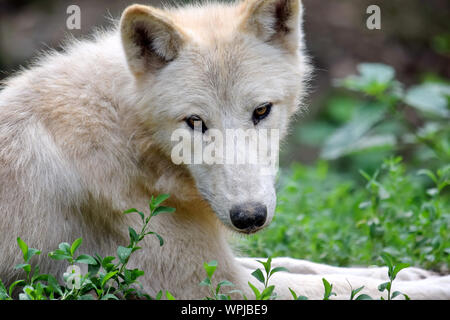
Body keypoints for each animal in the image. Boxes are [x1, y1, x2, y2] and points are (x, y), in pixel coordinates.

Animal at [0, 0, 448, 300]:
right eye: (195, 122)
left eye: (262, 110)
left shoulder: (223, 258)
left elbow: (310, 266)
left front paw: (408, 272)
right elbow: (344, 286)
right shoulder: (217, 286)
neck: (127, 136)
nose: (249, 217)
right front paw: (435, 283)